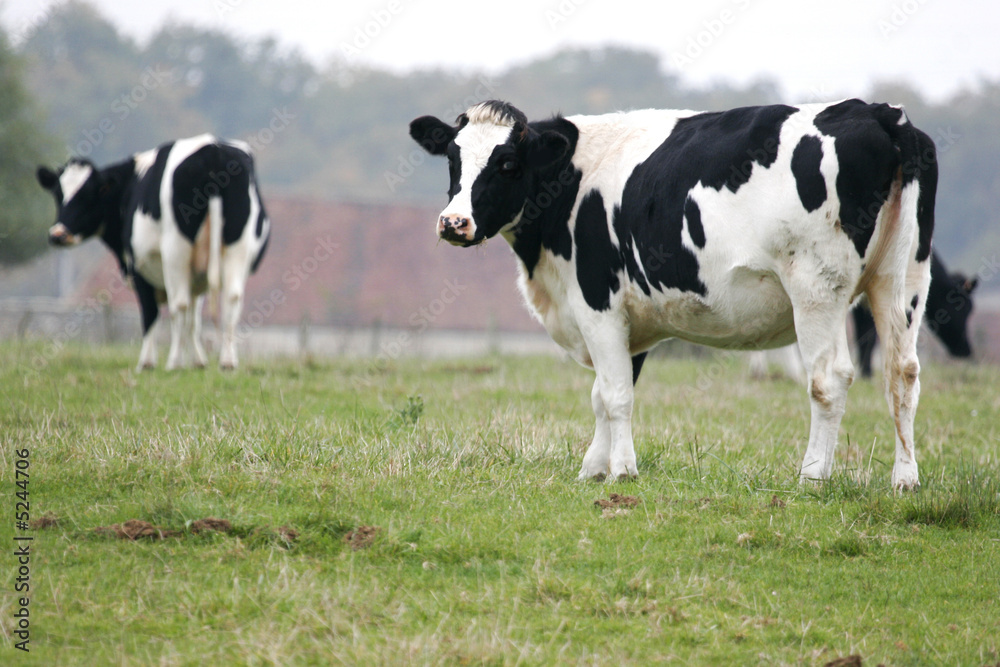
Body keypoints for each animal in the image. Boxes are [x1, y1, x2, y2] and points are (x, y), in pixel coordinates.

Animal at [37, 132, 270, 368]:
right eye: (58, 195)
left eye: (88, 195)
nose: (57, 234)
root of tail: (212, 150)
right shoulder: (195, 277)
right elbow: (194, 319)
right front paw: (198, 361)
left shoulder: (139, 267)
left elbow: (151, 313)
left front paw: (147, 362)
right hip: (237, 248)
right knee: (231, 298)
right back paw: (227, 362)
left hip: (176, 251)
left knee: (179, 304)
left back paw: (174, 362)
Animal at [408, 98, 936, 490]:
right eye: (453, 159)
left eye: (507, 163)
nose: (453, 222)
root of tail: (879, 112)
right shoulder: (629, 318)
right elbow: (603, 394)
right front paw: (593, 468)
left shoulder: (597, 302)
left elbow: (616, 395)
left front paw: (622, 471)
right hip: (903, 278)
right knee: (902, 373)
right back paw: (905, 479)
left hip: (816, 287)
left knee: (830, 378)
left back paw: (812, 477)